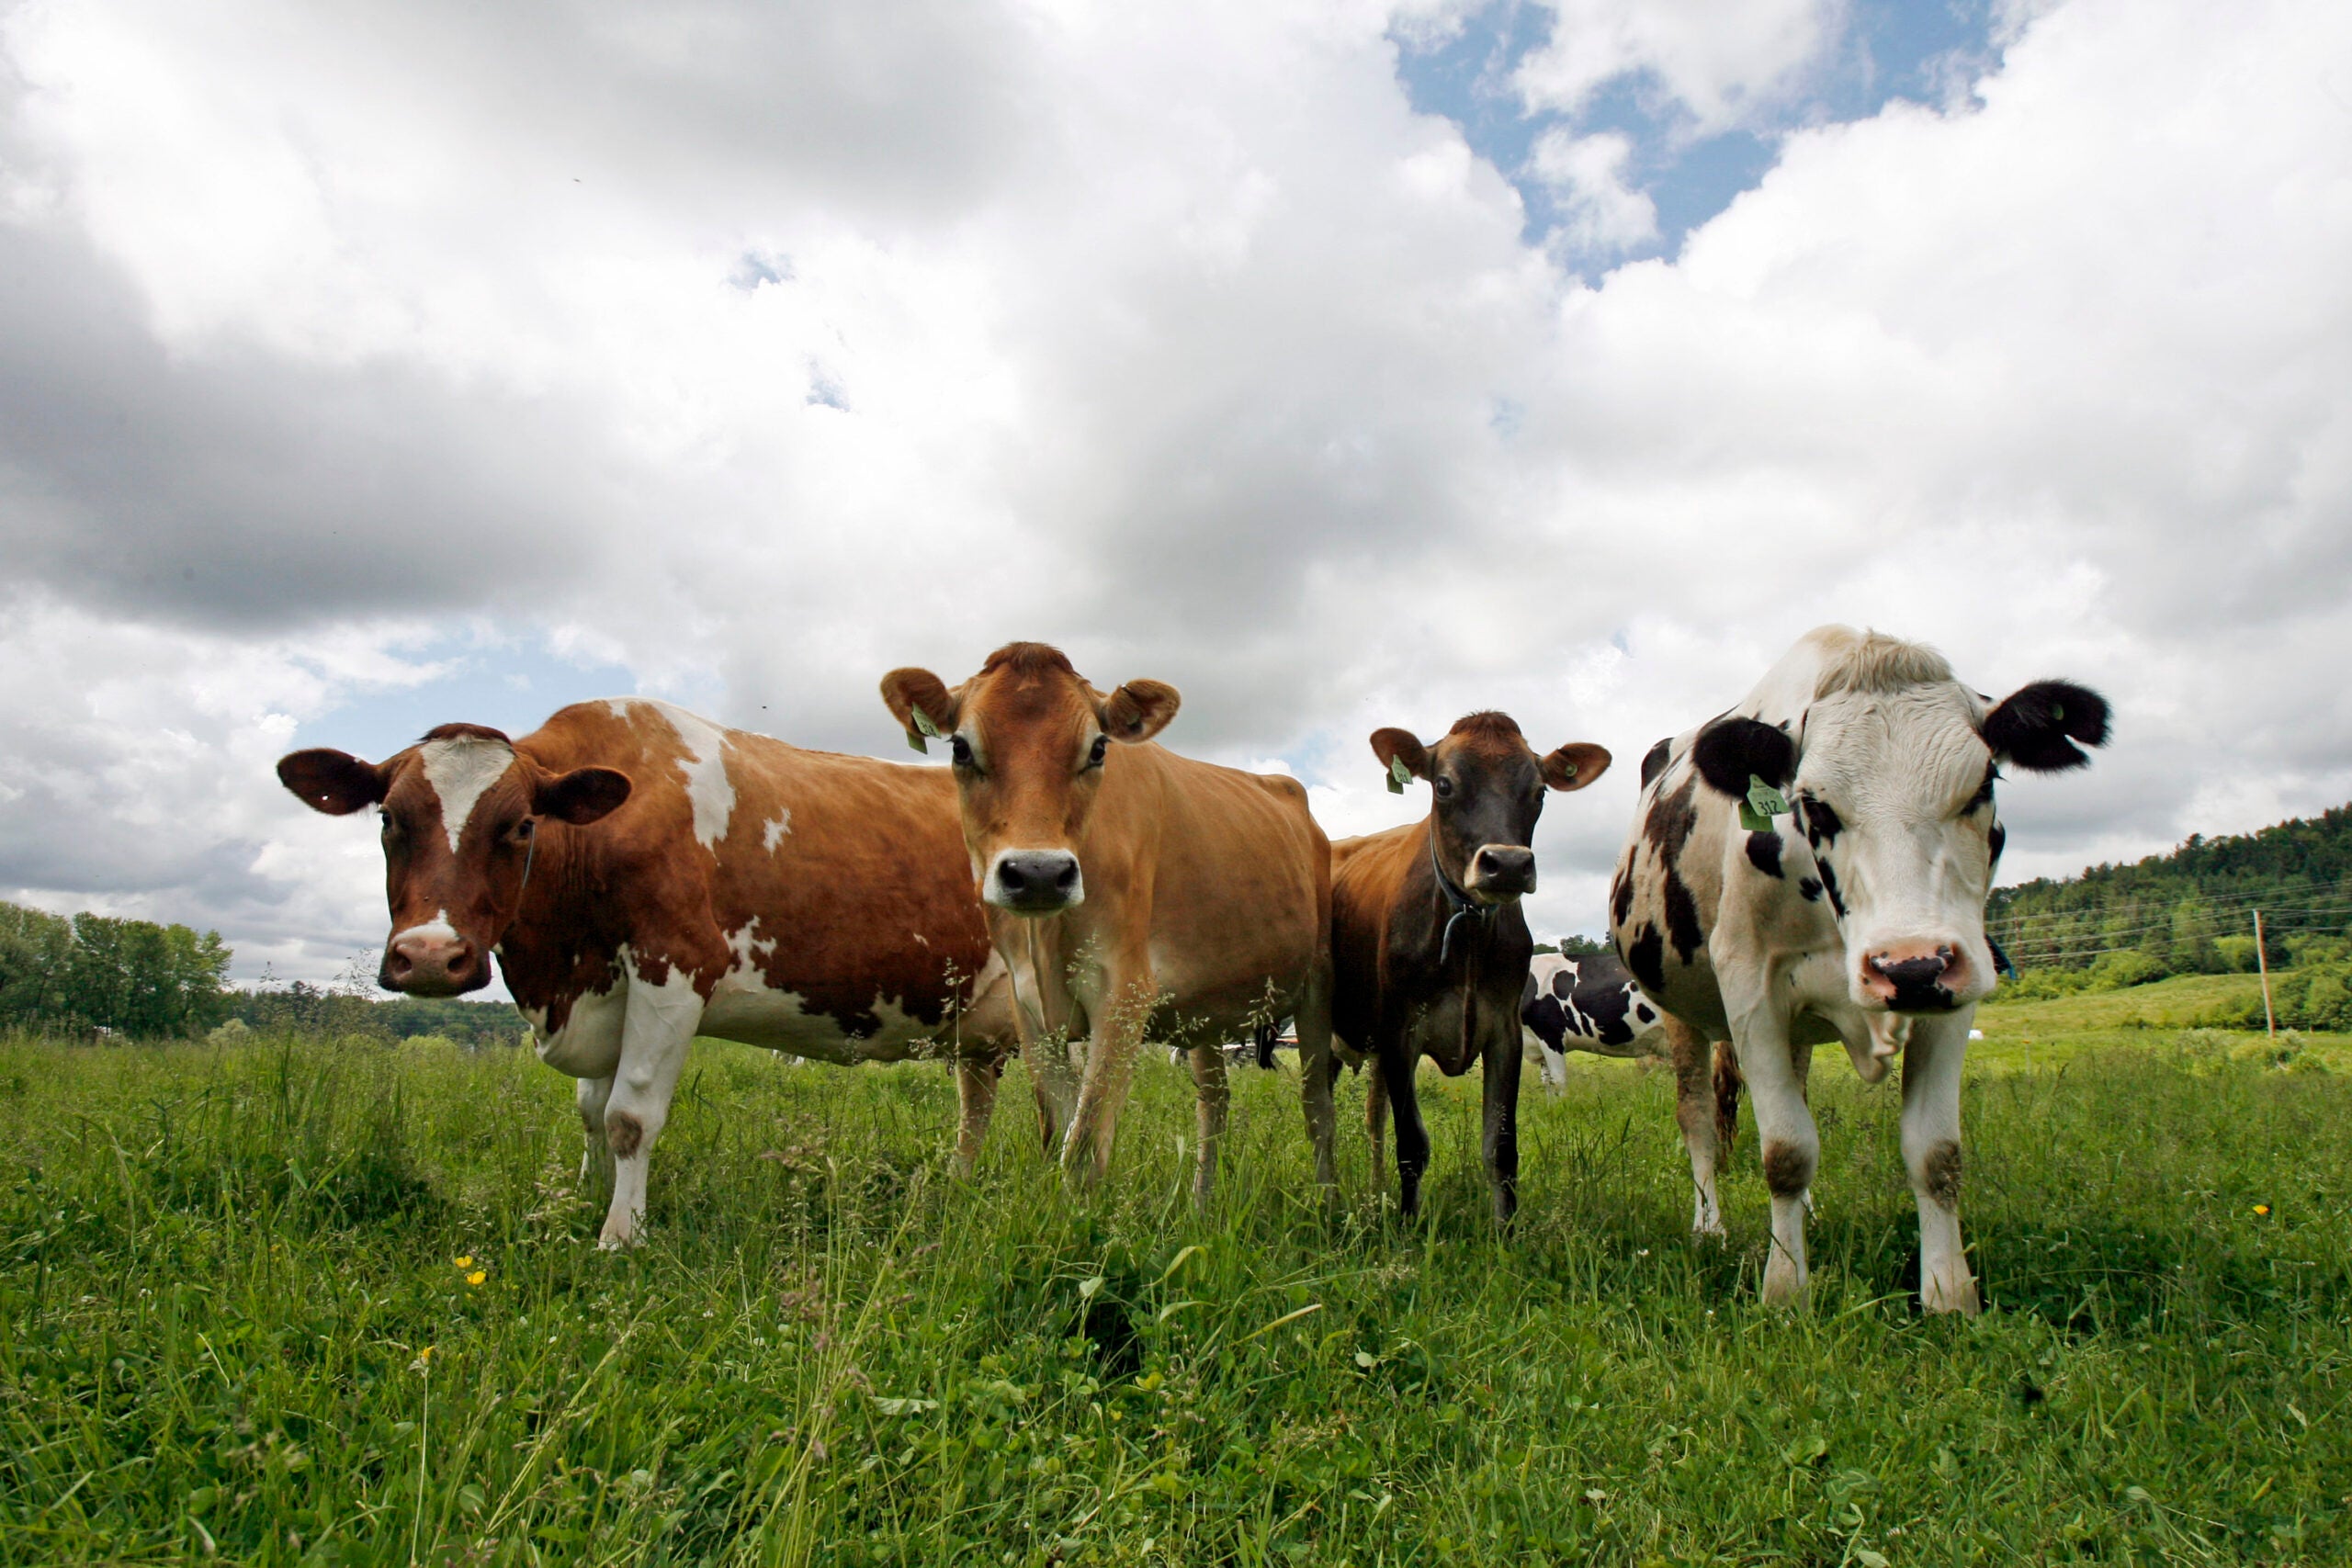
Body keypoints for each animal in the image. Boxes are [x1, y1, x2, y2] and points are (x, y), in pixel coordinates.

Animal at [277, 700, 1016, 1248]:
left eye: (520, 825)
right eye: (388, 818)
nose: (430, 956)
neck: (559, 974)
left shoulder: (675, 966)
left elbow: (629, 1116)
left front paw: (620, 1234)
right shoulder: (603, 988)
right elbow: (590, 1110)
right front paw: (583, 1199)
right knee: (979, 1107)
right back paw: (958, 1184)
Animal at [879, 643, 1335, 1200]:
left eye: (1098, 749)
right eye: (960, 749)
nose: (1038, 874)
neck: (1045, 936)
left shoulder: (1125, 990)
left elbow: (1082, 1148)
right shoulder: (1030, 1011)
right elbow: (1056, 1131)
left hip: (1317, 988)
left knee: (1318, 1106)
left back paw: (1328, 1202)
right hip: (1207, 1009)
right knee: (1214, 1101)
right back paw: (1202, 1203)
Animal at [1329, 713, 1610, 1221]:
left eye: (1540, 791)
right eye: (1443, 785)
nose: (1509, 864)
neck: (1468, 934)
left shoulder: (1505, 1032)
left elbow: (1500, 1146)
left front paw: (1505, 1230)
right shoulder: (1401, 1032)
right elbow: (1412, 1144)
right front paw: (1408, 1227)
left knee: (1372, 1116)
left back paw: (1375, 1196)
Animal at [1608, 626, 2109, 1311]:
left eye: (1983, 785)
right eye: (1813, 806)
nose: (1910, 965)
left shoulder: (1955, 988)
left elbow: (1936, 1153)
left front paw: (1949, 1295)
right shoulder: (1750, 990)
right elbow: (1785, 1151)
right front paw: (1786, 1291)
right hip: (1679, 1010)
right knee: (1699, 1120)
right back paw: (1709, 1226)